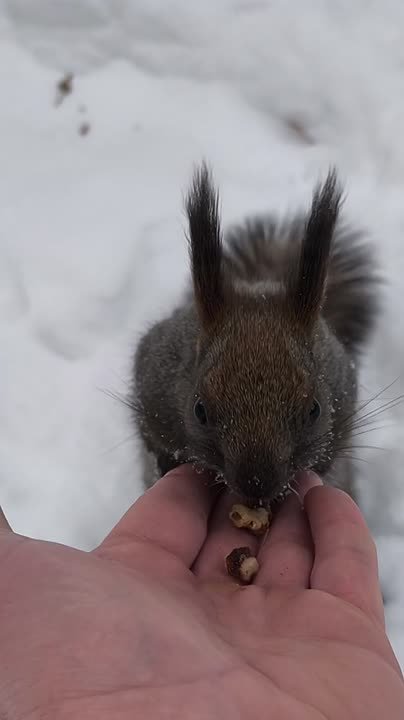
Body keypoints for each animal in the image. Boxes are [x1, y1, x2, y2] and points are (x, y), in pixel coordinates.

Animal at [133, 163, 380, 507]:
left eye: (315, 410)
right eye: (199, 410)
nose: (257, 484)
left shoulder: (343, 395)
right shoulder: (152, 380)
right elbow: (150, 435)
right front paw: (167, 463)